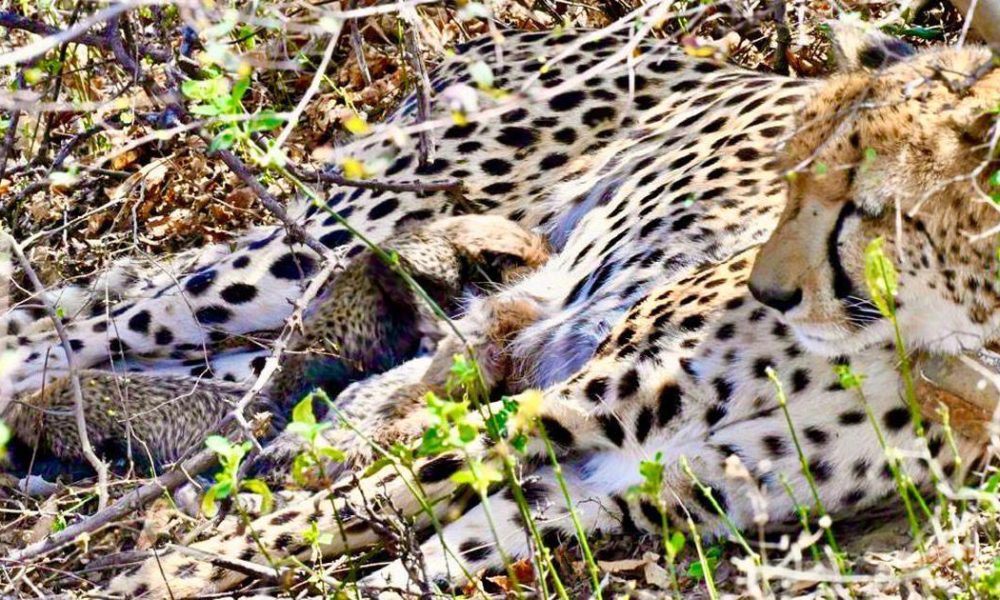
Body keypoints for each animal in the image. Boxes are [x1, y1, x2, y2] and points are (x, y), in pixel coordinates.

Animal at [0, 19, 994, 599]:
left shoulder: (624, 489)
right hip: (325, 236)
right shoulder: (561, 408)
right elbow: (314, 520)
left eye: (856, 198)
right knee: (81, 328)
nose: (769, 288)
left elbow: (404, 553)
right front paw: (147, 581)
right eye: (788, 179)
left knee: (235, 381)